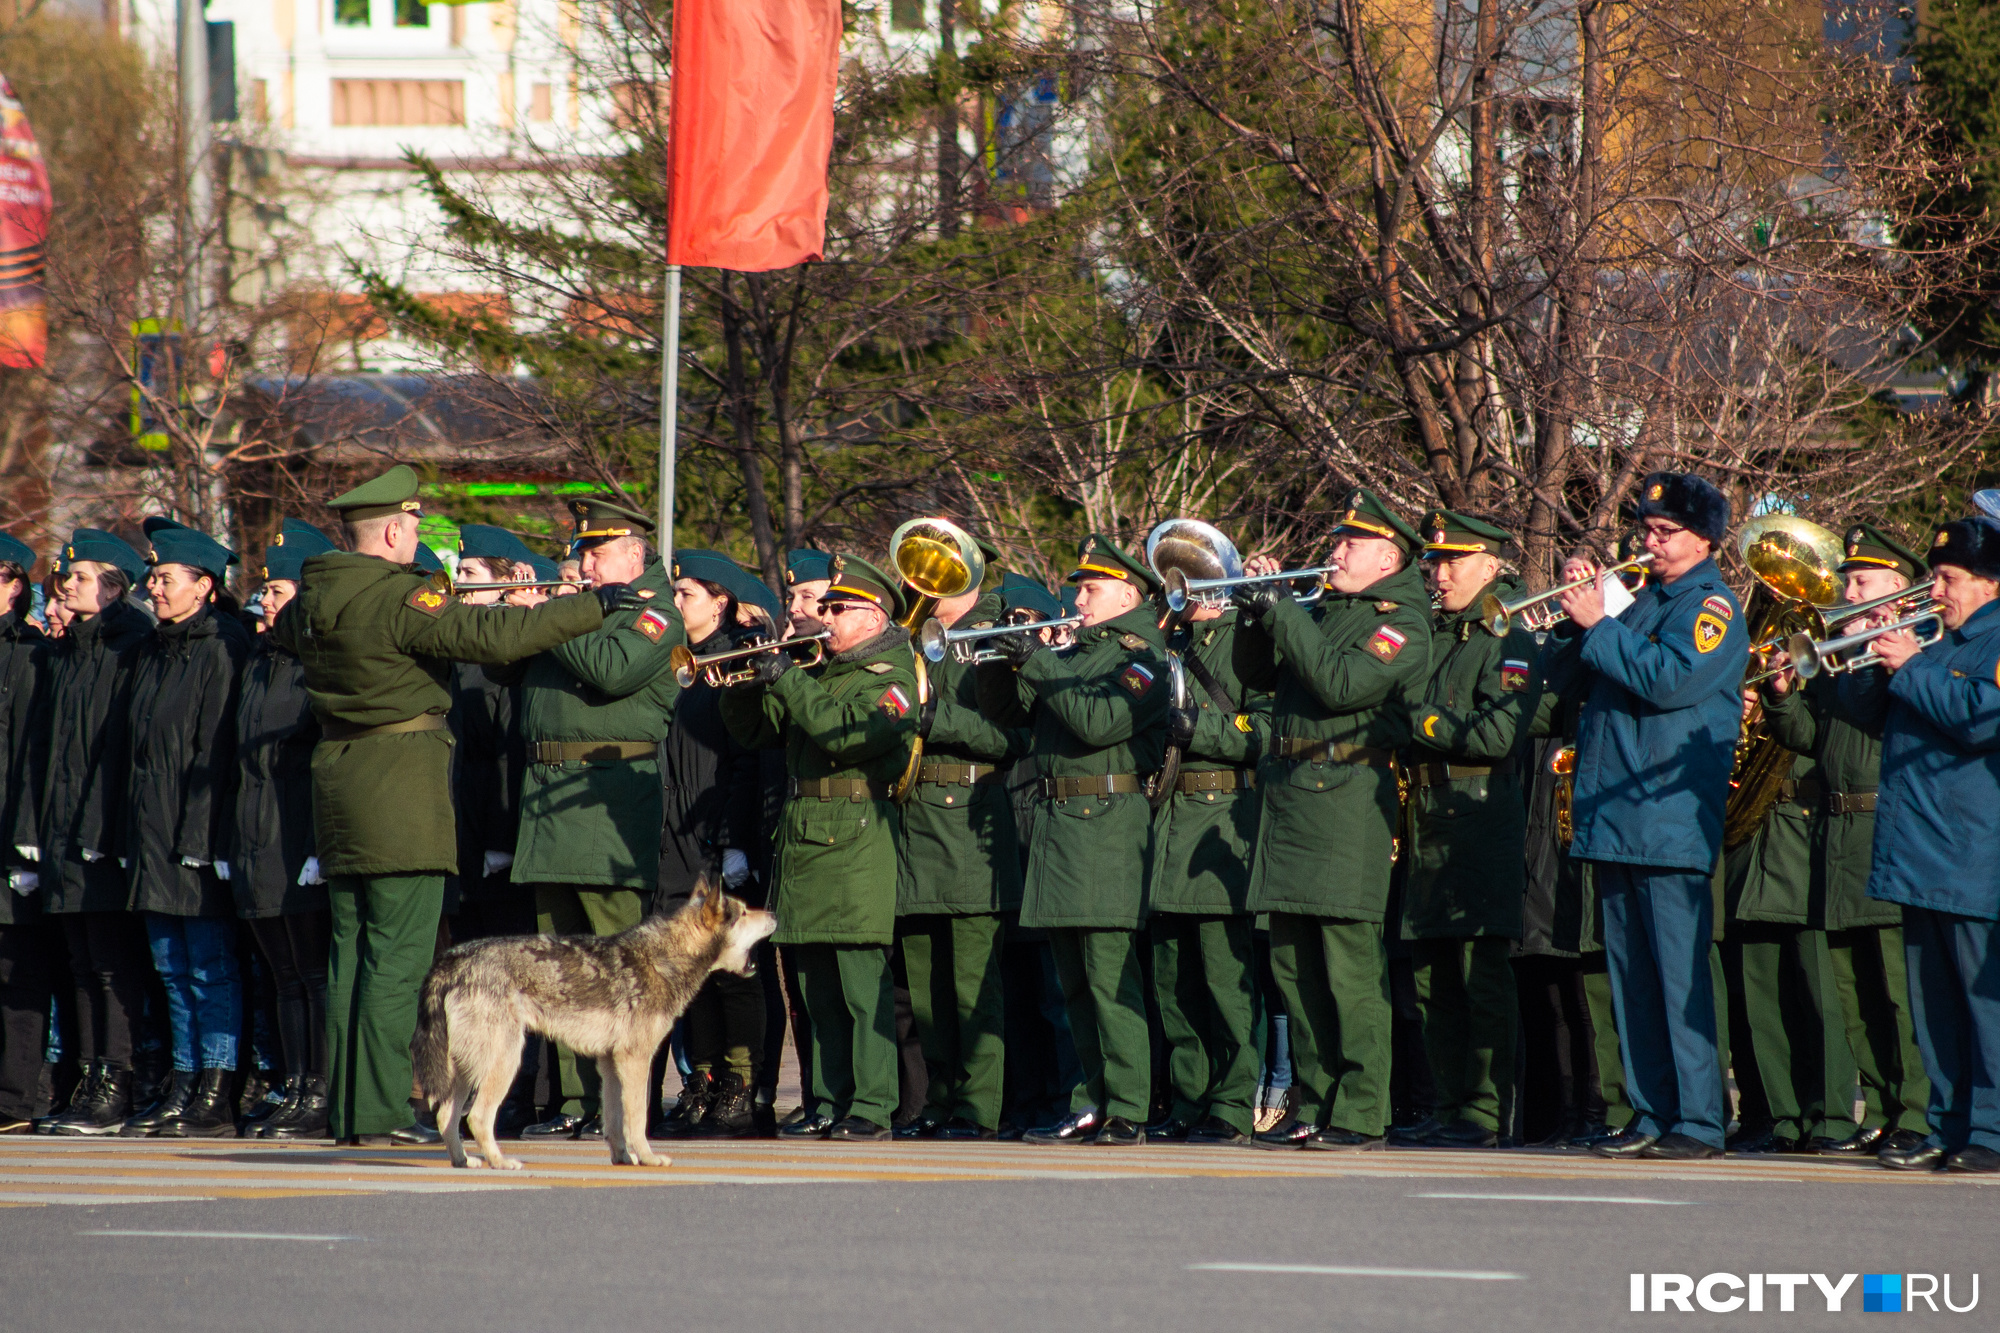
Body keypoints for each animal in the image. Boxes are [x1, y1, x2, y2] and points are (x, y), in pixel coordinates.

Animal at [410, 876, 776, 1168]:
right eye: (744, 913)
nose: (773, 913)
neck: (663, 960)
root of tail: (451, 959)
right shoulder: (634, 1060)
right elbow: (636, 1119)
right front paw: (648, 1158)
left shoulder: (611, 1064)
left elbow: (614, 1122)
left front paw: (623, 1159)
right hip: (503, 1062)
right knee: (477, 1118)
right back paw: (500, 1163)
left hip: (465, 1069)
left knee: (445, 1115)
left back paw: (463, 1161)